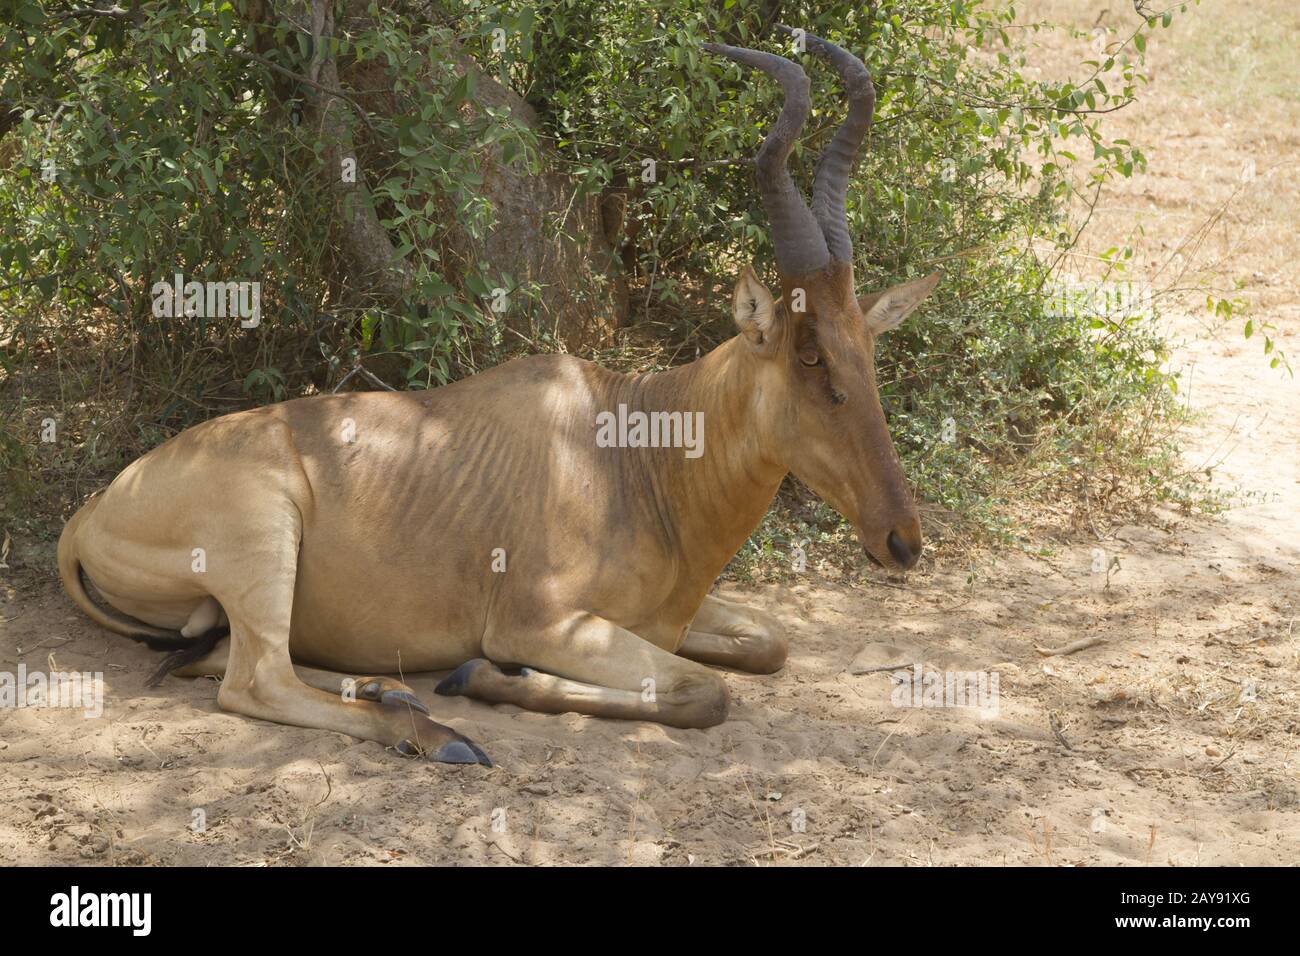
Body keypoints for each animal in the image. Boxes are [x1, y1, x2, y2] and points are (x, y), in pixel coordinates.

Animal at [58, 27, 935, 770]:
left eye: (867, 349)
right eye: (809, 356)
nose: (902, 541)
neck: (627, 454)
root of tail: (88, 513)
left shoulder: (673, 620)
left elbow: (768, 645)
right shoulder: (542, 623)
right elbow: (701, 693)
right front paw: (483, 677)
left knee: (223, 658)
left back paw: (388, 687)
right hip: (261, 536)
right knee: (254, 682)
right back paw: (435, 729)